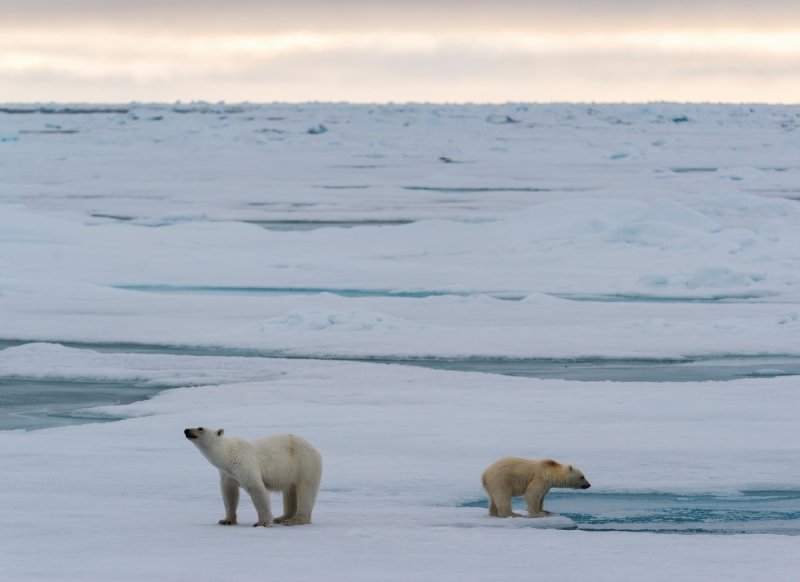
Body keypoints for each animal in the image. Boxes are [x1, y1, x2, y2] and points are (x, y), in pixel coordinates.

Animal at [184, 427, 322, 527]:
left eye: (200, 428)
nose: (186, 430)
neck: (229, 455)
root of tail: (313, 448)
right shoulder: (228, 473)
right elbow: (229, 493)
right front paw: (226, 520)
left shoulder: (245, 463)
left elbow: (256, 488)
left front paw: (263, 522)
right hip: (290, 473)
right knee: (290, 493)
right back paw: (282, 518)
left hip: (304, 465)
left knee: (305, 492)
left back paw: (295, 520)